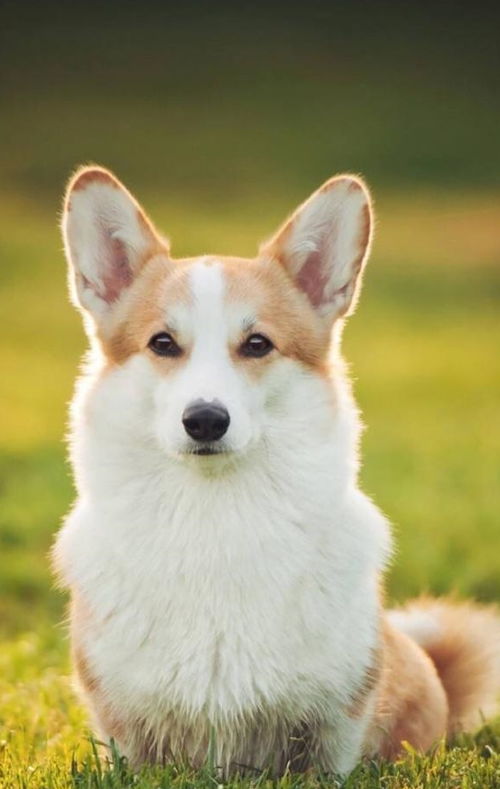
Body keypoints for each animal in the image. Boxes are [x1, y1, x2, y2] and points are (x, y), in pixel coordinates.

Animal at [52, 168, 498, 776]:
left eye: (257, 343)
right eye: (162, 343)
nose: (206, 420)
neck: (215, 516)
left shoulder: (335, 726)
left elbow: (328, 762)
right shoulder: (127, 735)